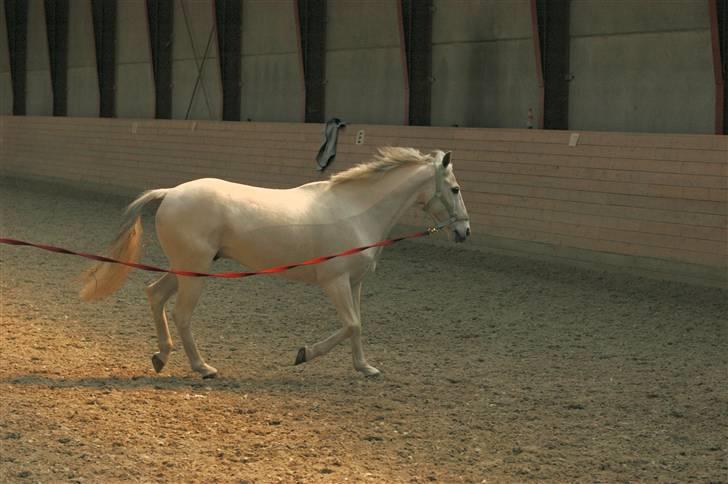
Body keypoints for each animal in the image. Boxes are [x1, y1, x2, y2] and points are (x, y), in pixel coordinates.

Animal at [78, 147, 466, 378]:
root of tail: (170, 193)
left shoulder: (354, 282)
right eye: (456, 189)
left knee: (154, 294)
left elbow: (357, 325)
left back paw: (162, 356)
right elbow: (351, 324)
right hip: (194, 271)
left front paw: (364, 367)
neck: (354, 211)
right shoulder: (335, 281)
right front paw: (304, 353)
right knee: (181, 313)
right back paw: (203, 368)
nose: (464, 231)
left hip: (183, 269)